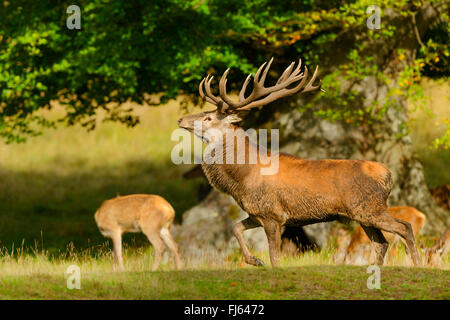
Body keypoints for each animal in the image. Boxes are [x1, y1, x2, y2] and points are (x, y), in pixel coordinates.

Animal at [177, 57, 422, 268]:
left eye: (208, 117)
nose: (180, 119)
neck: (242, 179)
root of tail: (387, 175)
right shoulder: (257, 213)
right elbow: (235, 228)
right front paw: (255, 260)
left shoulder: (272, 214)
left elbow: (275, 257)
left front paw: (266, 265)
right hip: (363, 214)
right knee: (381, 243)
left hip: (370, 207)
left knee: (405, 227)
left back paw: (418, 265)